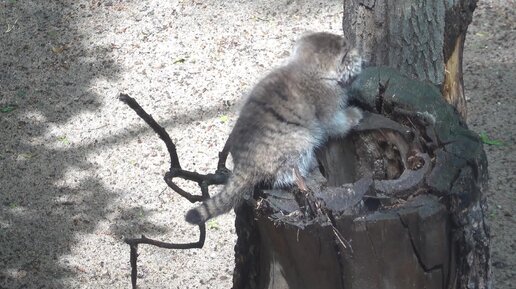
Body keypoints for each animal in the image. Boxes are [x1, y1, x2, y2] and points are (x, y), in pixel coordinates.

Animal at [185, 32, 362, 225]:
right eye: (347, 54)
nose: (360, 55)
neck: (305, 68)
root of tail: (245, 162)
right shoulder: (328, 106)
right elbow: (335, 123)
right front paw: (354, 116)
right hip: (300, 138)